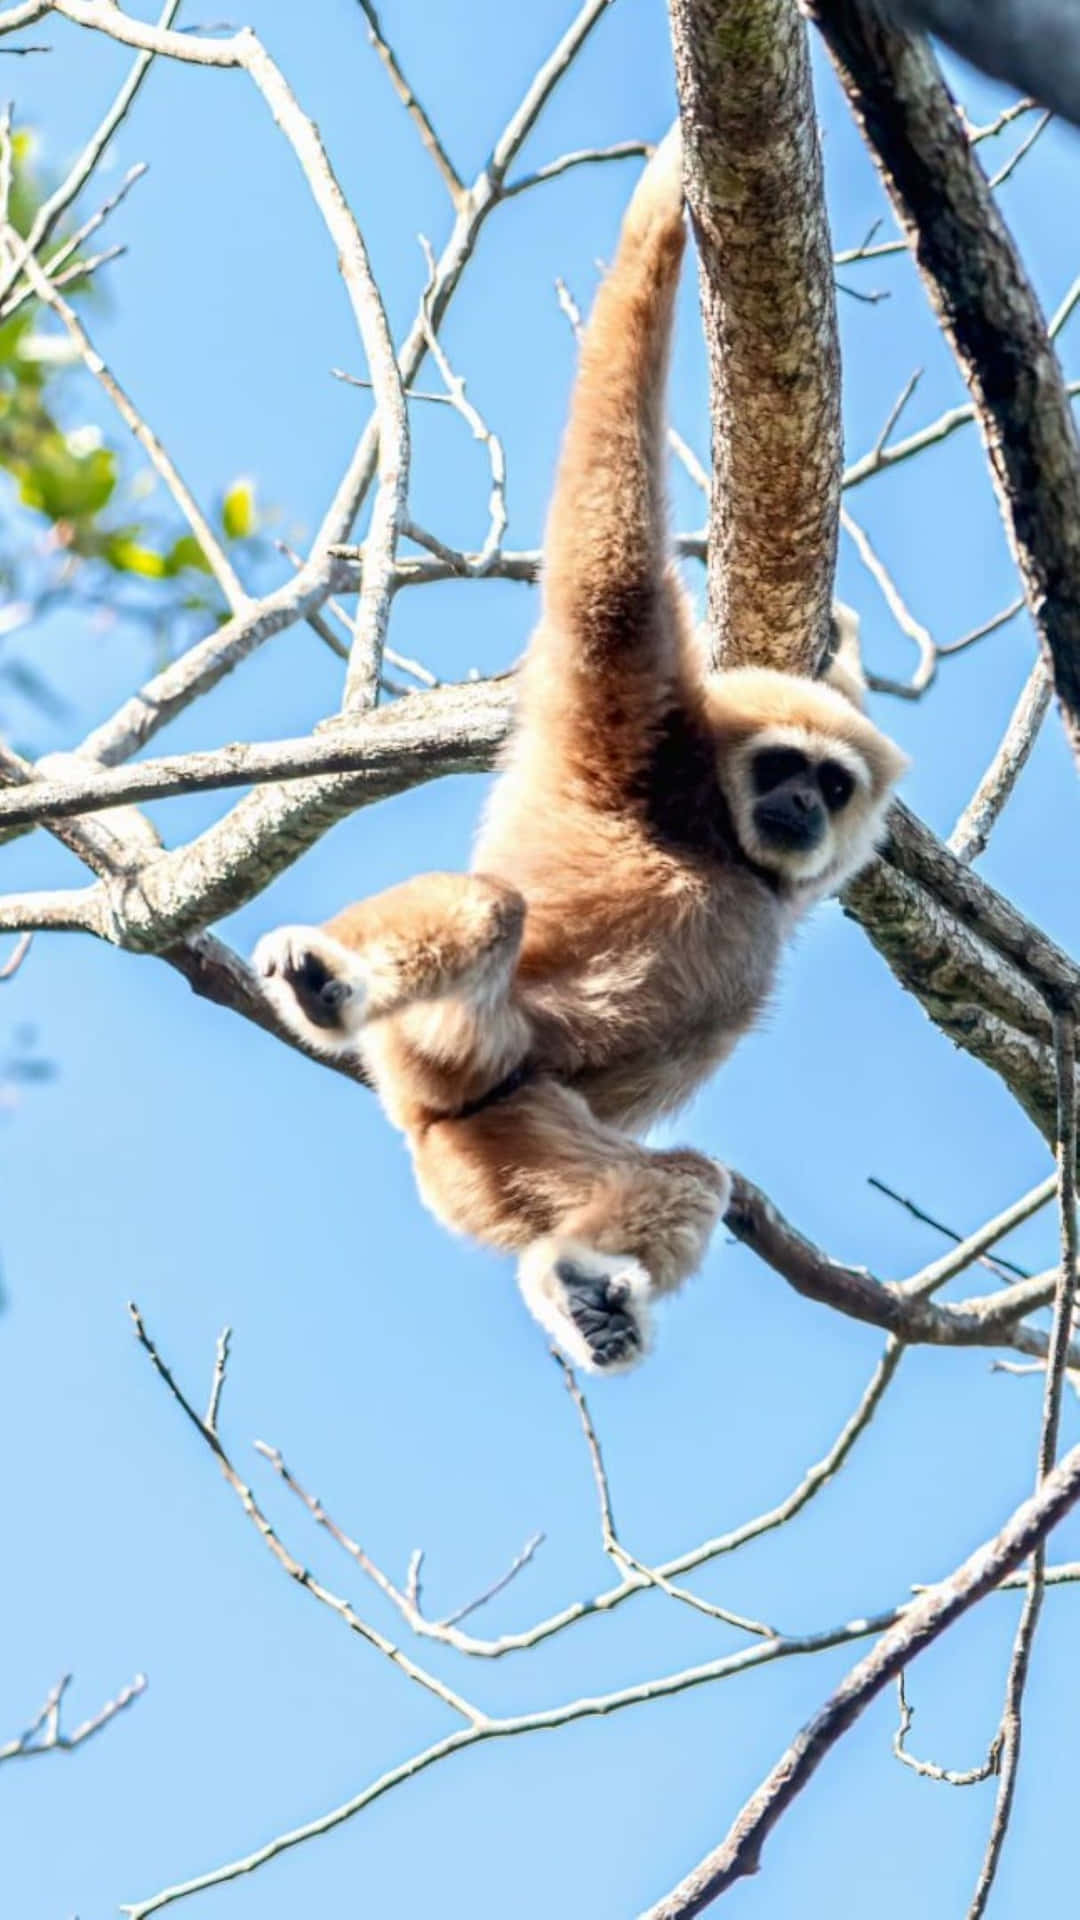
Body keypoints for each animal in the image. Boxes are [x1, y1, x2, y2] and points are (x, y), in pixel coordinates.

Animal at [253, 129, 908, 1374]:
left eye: (832, 781)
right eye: (780, 769)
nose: (802, 807)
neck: (707, 823)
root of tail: (421, 1112)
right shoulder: (630, 707)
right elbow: (611, 565)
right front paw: (665, 198)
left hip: (503, 1128)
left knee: (683, 1178)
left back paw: (584, 1289)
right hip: (461, 1049)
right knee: (489, 912)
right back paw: (329, 980)